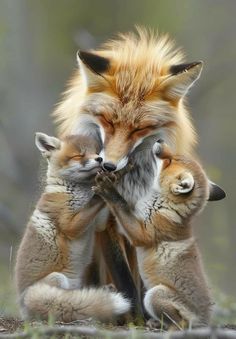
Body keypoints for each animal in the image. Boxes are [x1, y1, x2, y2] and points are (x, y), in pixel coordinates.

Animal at [53, 28, 203, 314]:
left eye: (139, 129)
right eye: (107, 121)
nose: (108, 165)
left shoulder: (149, 219)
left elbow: (143, 277)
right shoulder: (106, 220)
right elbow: (125, 279)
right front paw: (133, 316)